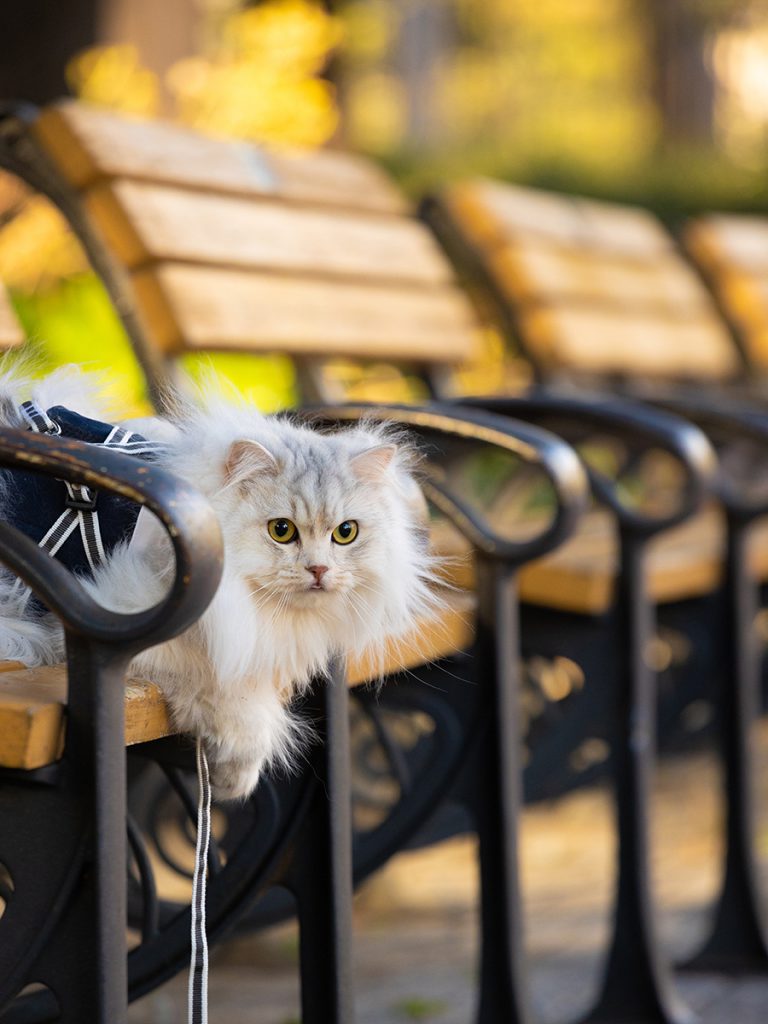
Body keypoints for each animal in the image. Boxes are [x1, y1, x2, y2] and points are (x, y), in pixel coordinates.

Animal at [0, 368, 438, 798]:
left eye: (346, 533)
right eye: (281, 531)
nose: (318, 570)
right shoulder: (131, 618)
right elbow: (229, 692)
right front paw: (238, 776)